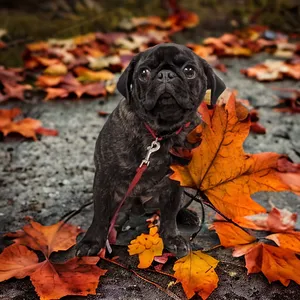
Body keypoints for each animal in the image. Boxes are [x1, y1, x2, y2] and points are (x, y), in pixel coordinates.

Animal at [76, 42, 226, 258]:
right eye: (144, 72)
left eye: (189, 71)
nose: (165, 75)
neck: (159, 134)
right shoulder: (105, 178)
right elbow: (100, 215)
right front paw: (92, 241)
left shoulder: (175, 183)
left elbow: (170, 214)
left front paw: (172, 238)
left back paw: (187, 215)